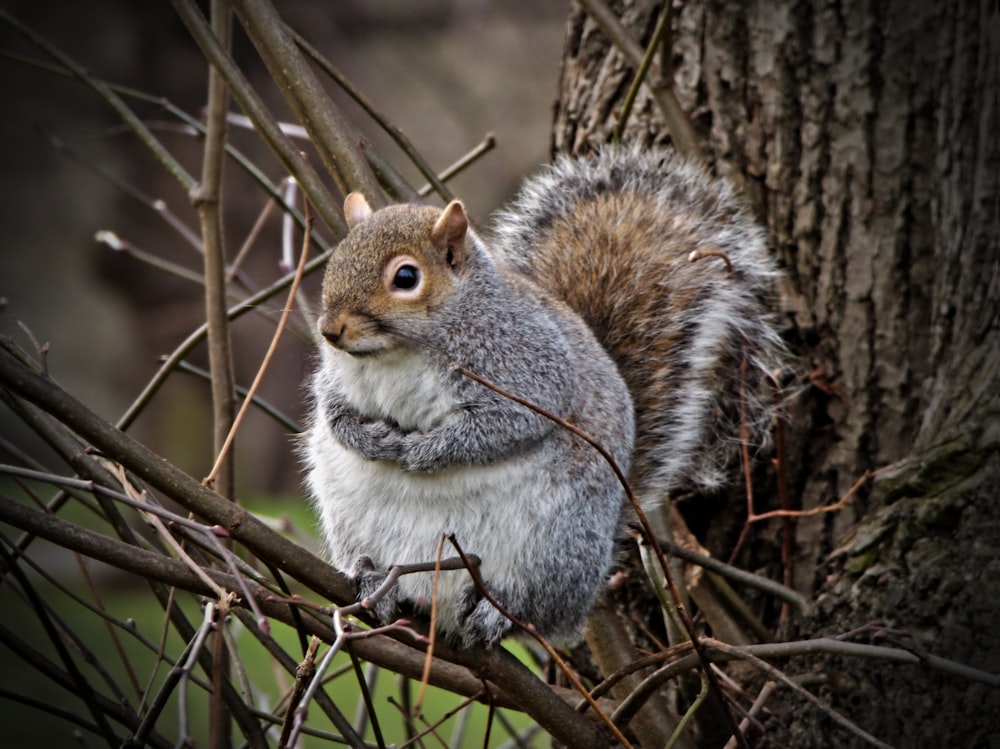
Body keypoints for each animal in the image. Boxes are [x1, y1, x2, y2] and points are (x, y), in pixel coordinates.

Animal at [300, 148, 784, 648]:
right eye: (336, 260)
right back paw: (372, 576)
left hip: (554, 545)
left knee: (533, 609)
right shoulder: (337, 377)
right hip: (352, 519)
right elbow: (333, 411)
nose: (329, 330)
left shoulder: (530, 370)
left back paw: (496, 612)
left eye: (406, 277)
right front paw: (366, 439)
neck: (396, 352)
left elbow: (501, 426)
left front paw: (424, 452)